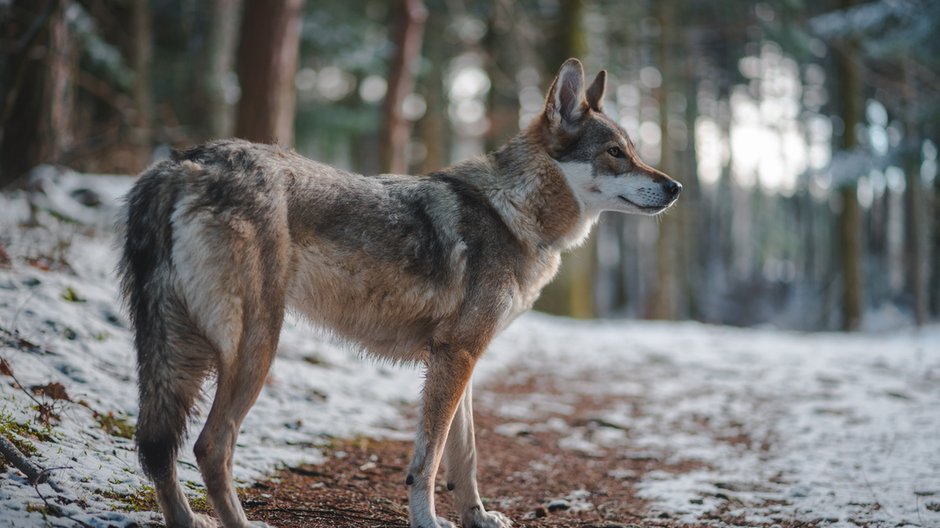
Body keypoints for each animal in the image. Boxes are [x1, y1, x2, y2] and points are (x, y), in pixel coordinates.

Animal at [121, 58, 684, 528]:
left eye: (634, 152)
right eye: (616, 153)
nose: (676, 186)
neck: (513, 211)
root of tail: (181, 162)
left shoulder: (462, 358)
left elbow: (465, 457)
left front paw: (478, 518)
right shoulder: (455, 357)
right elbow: (428, 460)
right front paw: (428, 521)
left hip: (178, 351)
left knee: (159, 448)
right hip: (254, 348)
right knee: (210, 447)